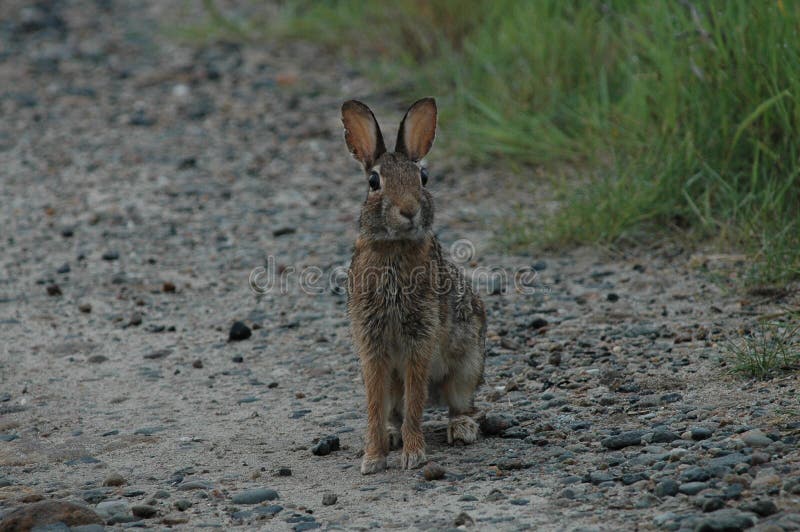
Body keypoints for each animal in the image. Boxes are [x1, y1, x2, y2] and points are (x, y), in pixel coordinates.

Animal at [341, 98, 487, 474]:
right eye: (374, 181)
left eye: (423, 177)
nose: (408, 210)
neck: (394, 246)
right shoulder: (371, 341)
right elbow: (375, 403)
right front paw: (373, 459)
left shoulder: (420, 335)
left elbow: (416, 397)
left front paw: (413, 455)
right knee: (393, 408)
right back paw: (392, 436)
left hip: (467, 365)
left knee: (461, 403)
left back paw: (461, 429)